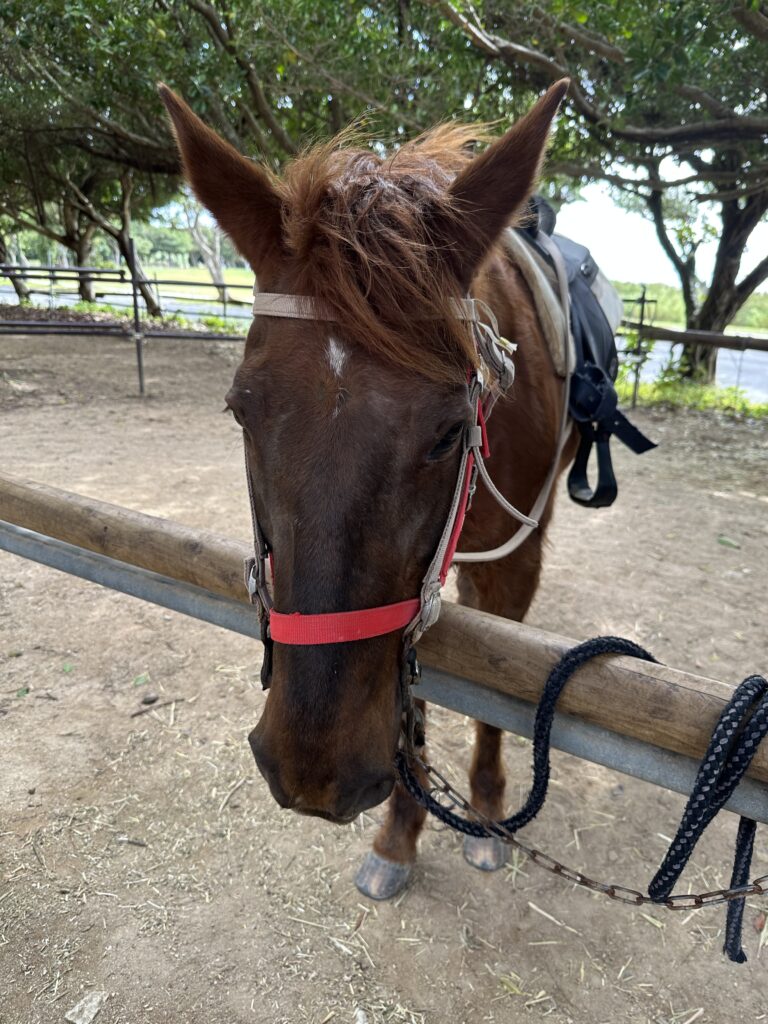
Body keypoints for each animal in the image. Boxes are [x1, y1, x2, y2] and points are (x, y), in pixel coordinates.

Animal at [160, 80, 578, 900]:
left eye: (449, 431)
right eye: (240, 410)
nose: (313, 771)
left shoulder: (517, 563)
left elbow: (495, 694)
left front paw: (485, 814)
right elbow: (415, 688)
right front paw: (400, 833)